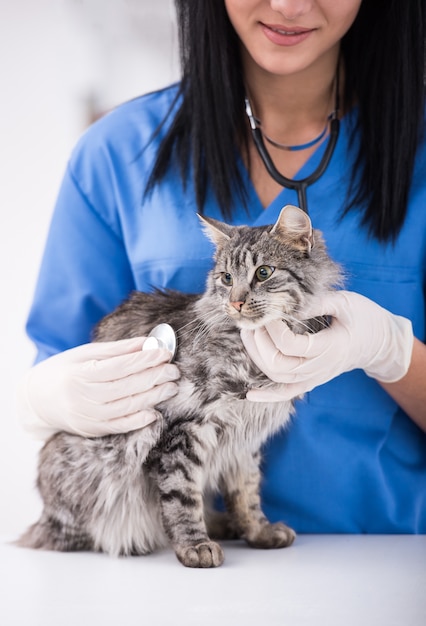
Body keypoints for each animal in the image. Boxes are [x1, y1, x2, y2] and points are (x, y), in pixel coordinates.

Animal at [18, 204, 342, 564]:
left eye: (263, 273)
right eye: (226, 278)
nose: (236, 302)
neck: (250, 356)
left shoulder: (244, 442)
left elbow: (247, 494)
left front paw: (258, 532)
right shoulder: (184, 429)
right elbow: (182, 497)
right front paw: (195, 546)